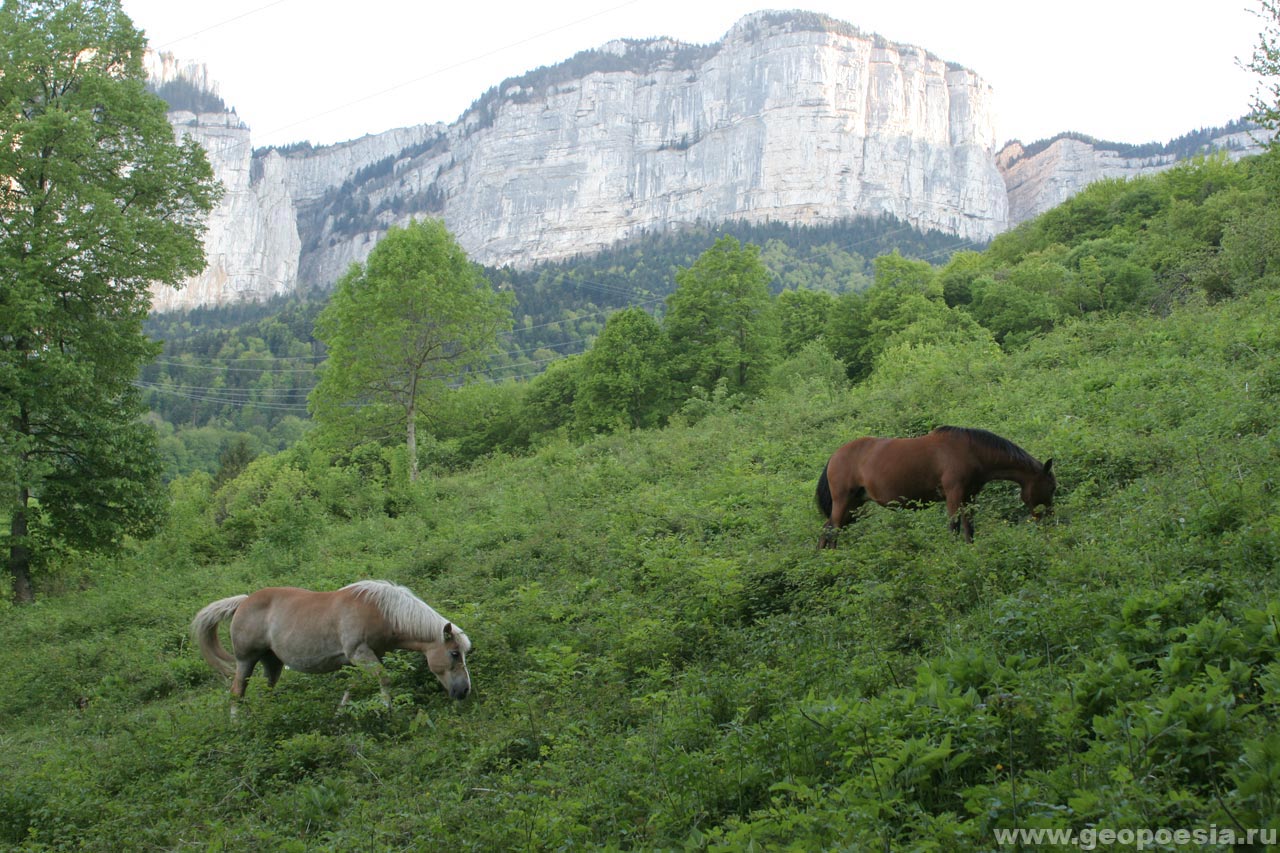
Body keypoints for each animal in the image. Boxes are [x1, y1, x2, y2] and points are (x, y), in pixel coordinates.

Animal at [189, 578, 471, 712]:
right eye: (454, 653)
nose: (464, 691)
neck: (380, 611)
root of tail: (243, 602)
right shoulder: (360, 654)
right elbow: (384, 680)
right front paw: (386, 710)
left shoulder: (368, 657)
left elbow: (354, 685)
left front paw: (341, 713)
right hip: (246, 660)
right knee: (236, 693)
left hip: (272, 662)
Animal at [814, 425, 1054, 545]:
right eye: (1050, 488)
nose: (1049, 520)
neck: (971, 451)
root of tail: (834, 456)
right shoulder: (954, 494)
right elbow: (954, 526)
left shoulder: (969, 496)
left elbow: (969, 527)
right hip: (843, 500)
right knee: (831, 531)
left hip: (854, 504)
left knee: (829, 529)